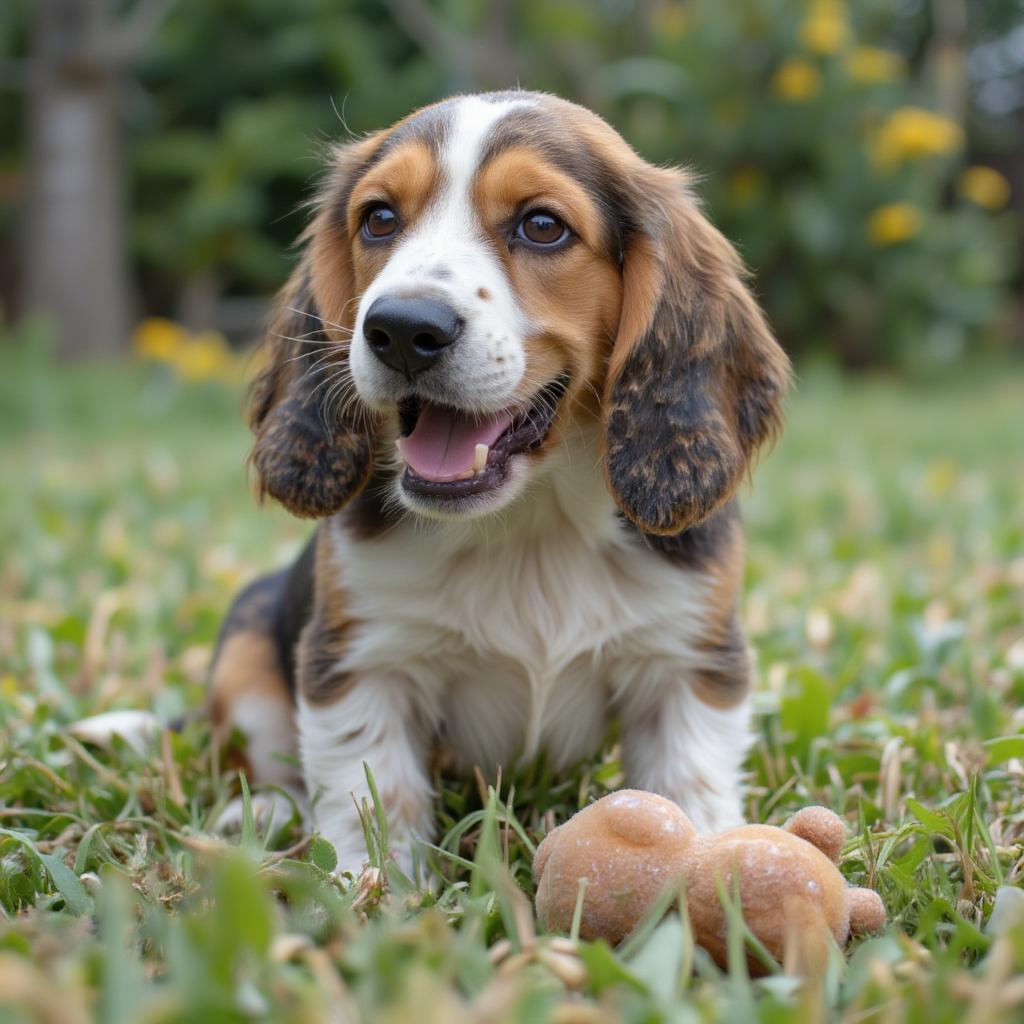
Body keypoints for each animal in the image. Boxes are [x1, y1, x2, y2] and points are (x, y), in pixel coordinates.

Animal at [209, 90, 790, 872]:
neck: (531, 522)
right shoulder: (362, 659)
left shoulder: (686, 662)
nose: (401, 329)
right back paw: (263, 813)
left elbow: (688, 786)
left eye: (542, 226)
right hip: (243, 649)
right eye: (379, 218)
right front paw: (369, 885)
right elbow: (372, 792)